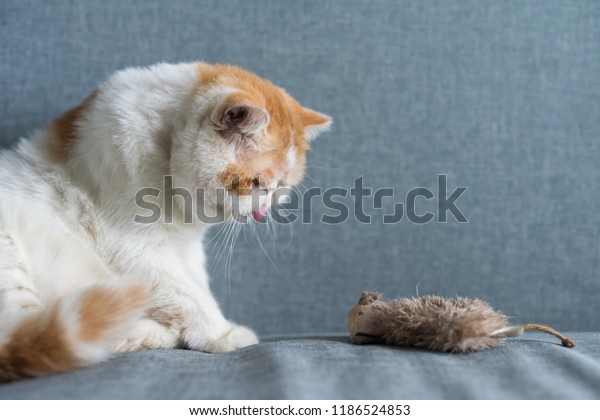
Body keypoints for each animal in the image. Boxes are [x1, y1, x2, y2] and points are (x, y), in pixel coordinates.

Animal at [0, 62, 330, 380]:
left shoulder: (188, 250)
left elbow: (197, 285)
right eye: (258, 183)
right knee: (33, 334)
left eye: (281, 187)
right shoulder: (137, 250)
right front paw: (221, 333)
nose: (262, 212)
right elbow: (188, 296)